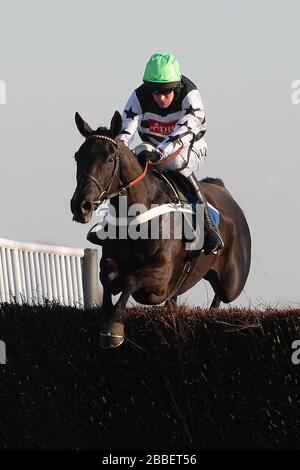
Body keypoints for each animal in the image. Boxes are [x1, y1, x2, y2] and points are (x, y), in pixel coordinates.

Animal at [70, 112, 251, 346]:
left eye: (109, 159)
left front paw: (114, 327)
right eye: (78, 157)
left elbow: (131, 279)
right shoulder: (110, 260)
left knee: (222, 294)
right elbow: (108, 276)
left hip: (232, 282)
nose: (80, 205)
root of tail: (223, 190)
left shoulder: (162, 272)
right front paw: (107, 320)